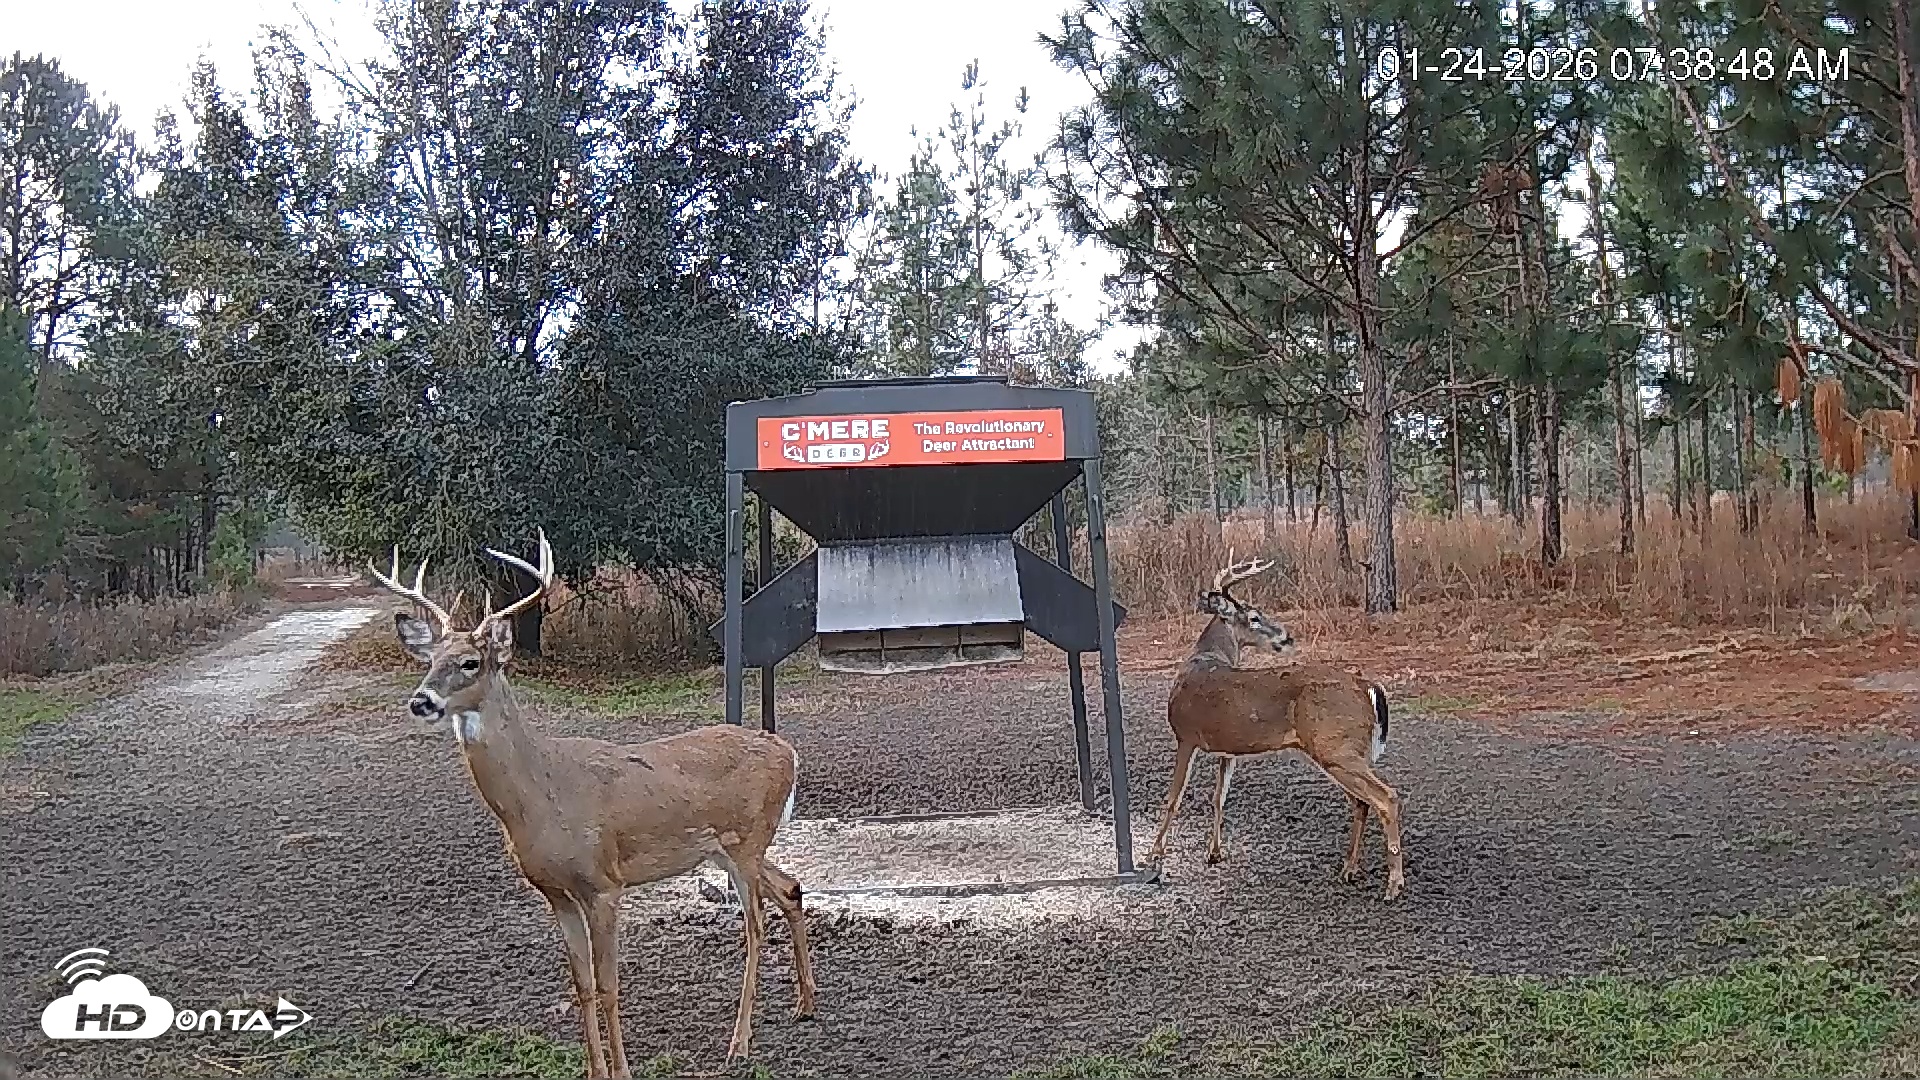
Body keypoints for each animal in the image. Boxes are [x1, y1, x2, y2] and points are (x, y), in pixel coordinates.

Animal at [370, 529, 815, 1077]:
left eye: (470, 662)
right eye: (430, 661)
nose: (421, 701)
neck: (543, 798)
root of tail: (788, 752)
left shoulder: (604, 882)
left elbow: (608, 985)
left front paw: (621, 1070)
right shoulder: (556, 892)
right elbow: (581, 984)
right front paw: (593, 1069)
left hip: (746, 840)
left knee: (754, 926)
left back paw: (740, 1042)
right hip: (729, 849)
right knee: (791, 887)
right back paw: (805, 1005)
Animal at [1143, 554, 1406, 900]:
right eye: (1254, 616)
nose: (1286, 636)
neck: (1204, 659)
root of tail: (1368, 686)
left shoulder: (1185, 735)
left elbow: (1173, 798)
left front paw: (1154, 856)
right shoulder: (1226, 748)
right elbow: (1219, 796)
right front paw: (1214, 853)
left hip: (1337, 749)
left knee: (1387, 797)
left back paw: (1393, 885)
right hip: (1341, 751)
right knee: (1362, 802)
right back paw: (1349, 870)